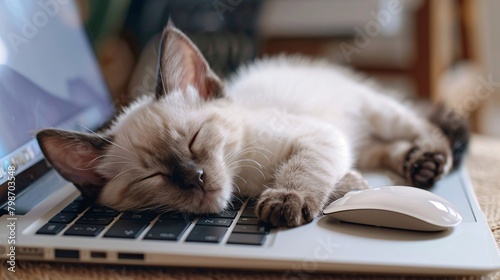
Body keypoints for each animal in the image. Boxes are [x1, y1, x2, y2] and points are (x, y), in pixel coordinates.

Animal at [36, 24, 468, 228]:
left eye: (194, 140)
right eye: (153, 176)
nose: (195, 177)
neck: (244, 181)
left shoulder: (319, 135)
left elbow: (304, 168)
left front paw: (286, 200)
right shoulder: (334, 142)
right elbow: (337, 175)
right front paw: (348, 185)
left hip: (379, 111)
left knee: (421, 124)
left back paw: (429, 159)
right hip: (367, 137)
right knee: (382, 148)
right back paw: (412, 165)